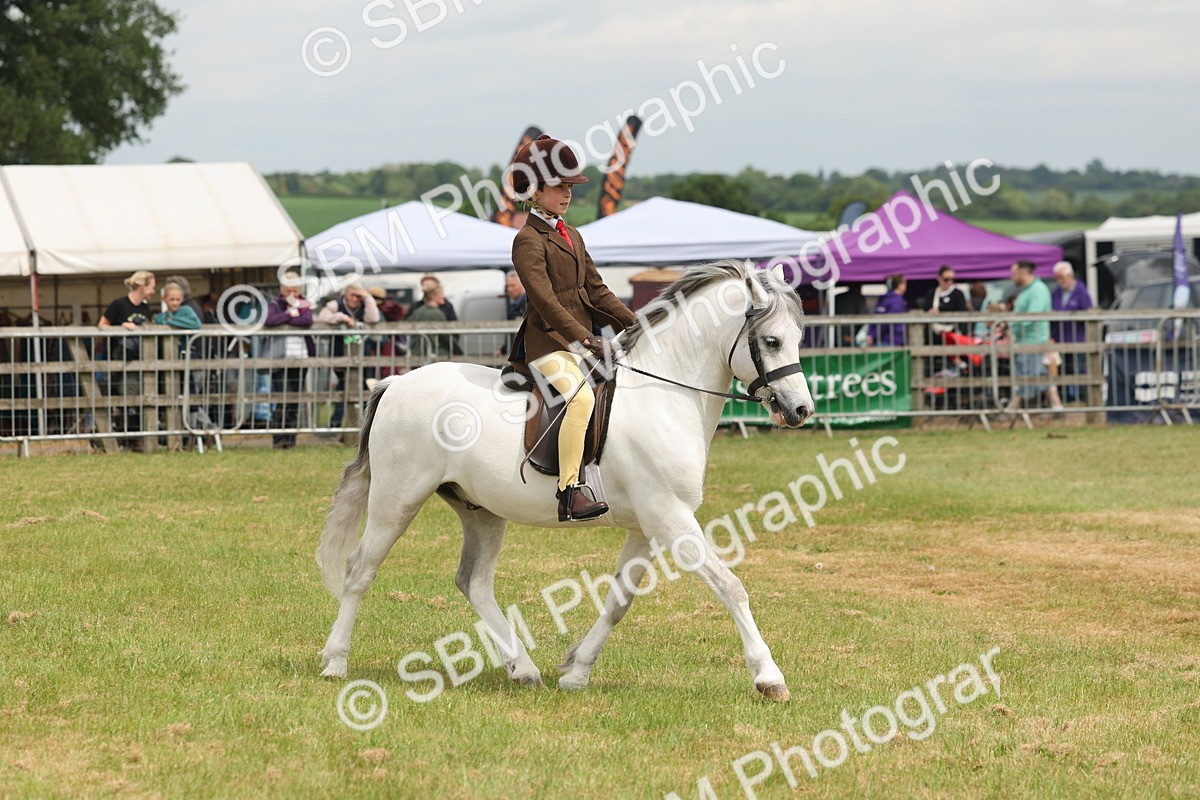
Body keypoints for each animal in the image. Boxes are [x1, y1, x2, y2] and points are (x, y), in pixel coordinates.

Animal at [317, 259, 814, 700]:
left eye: (798, 338)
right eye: (772, 341)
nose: (801, 410)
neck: (664, 394)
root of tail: (395, 383)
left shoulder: (647, 525)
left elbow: (619, 601)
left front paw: (576, 672)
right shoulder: (670, 517)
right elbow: (731, 586)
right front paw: (769, 677)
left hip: (481, 510)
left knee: (473, 582)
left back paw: (523, 669)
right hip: (396, 499)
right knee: (360, 570)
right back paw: (335, 662)